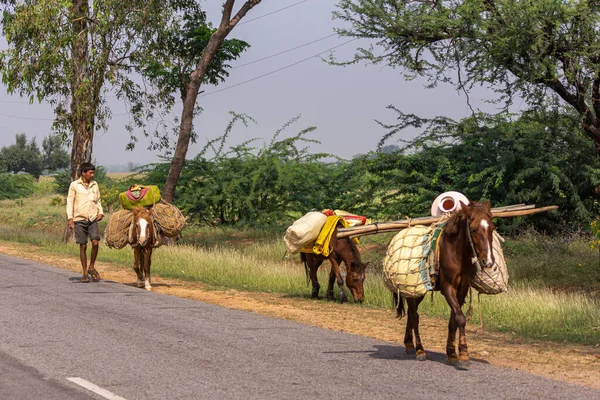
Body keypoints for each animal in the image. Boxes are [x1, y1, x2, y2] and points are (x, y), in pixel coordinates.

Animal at [396, 200, 494, 368]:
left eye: (492, 228)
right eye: (474, 229)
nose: (487, 261)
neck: (457, 253)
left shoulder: (462, 289)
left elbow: (453, 320)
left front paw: (452, 354)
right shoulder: (448, 288)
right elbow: (460, 318)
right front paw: (463, 355)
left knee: (411, 313)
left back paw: (409, 344)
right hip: (414, 291)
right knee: (414, 316)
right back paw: (420, 350)